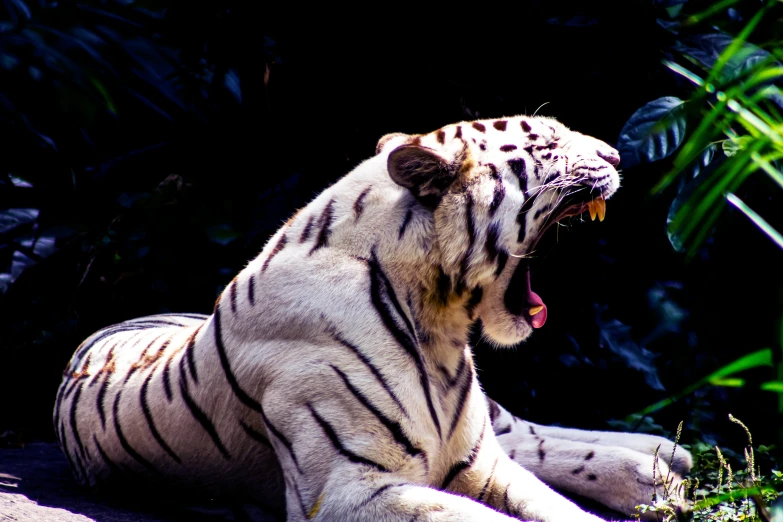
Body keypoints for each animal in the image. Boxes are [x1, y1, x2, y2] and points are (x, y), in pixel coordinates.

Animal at [55, 116, 692, 516]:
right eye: (549, 144)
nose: (617, 155)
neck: (440, 325)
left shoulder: (480, 461)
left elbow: (554, 505)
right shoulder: (348, 490)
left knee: (527, 433)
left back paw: (662, 460)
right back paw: (660, 469)